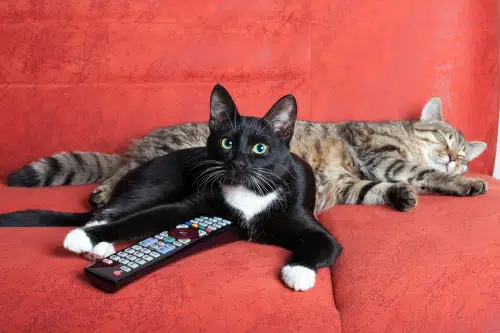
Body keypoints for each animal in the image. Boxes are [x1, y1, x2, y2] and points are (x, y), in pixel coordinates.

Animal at [0, 85, 342, 290]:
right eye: (227, 142)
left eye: (260, 149)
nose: (238, 163)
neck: (248, 192)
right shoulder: (191, 207)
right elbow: (142, 220)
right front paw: (88, 237)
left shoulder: (309, 222)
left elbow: (322, 244)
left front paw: (298, 272)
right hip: (158, 183)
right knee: (112, 210)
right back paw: (96, 241)